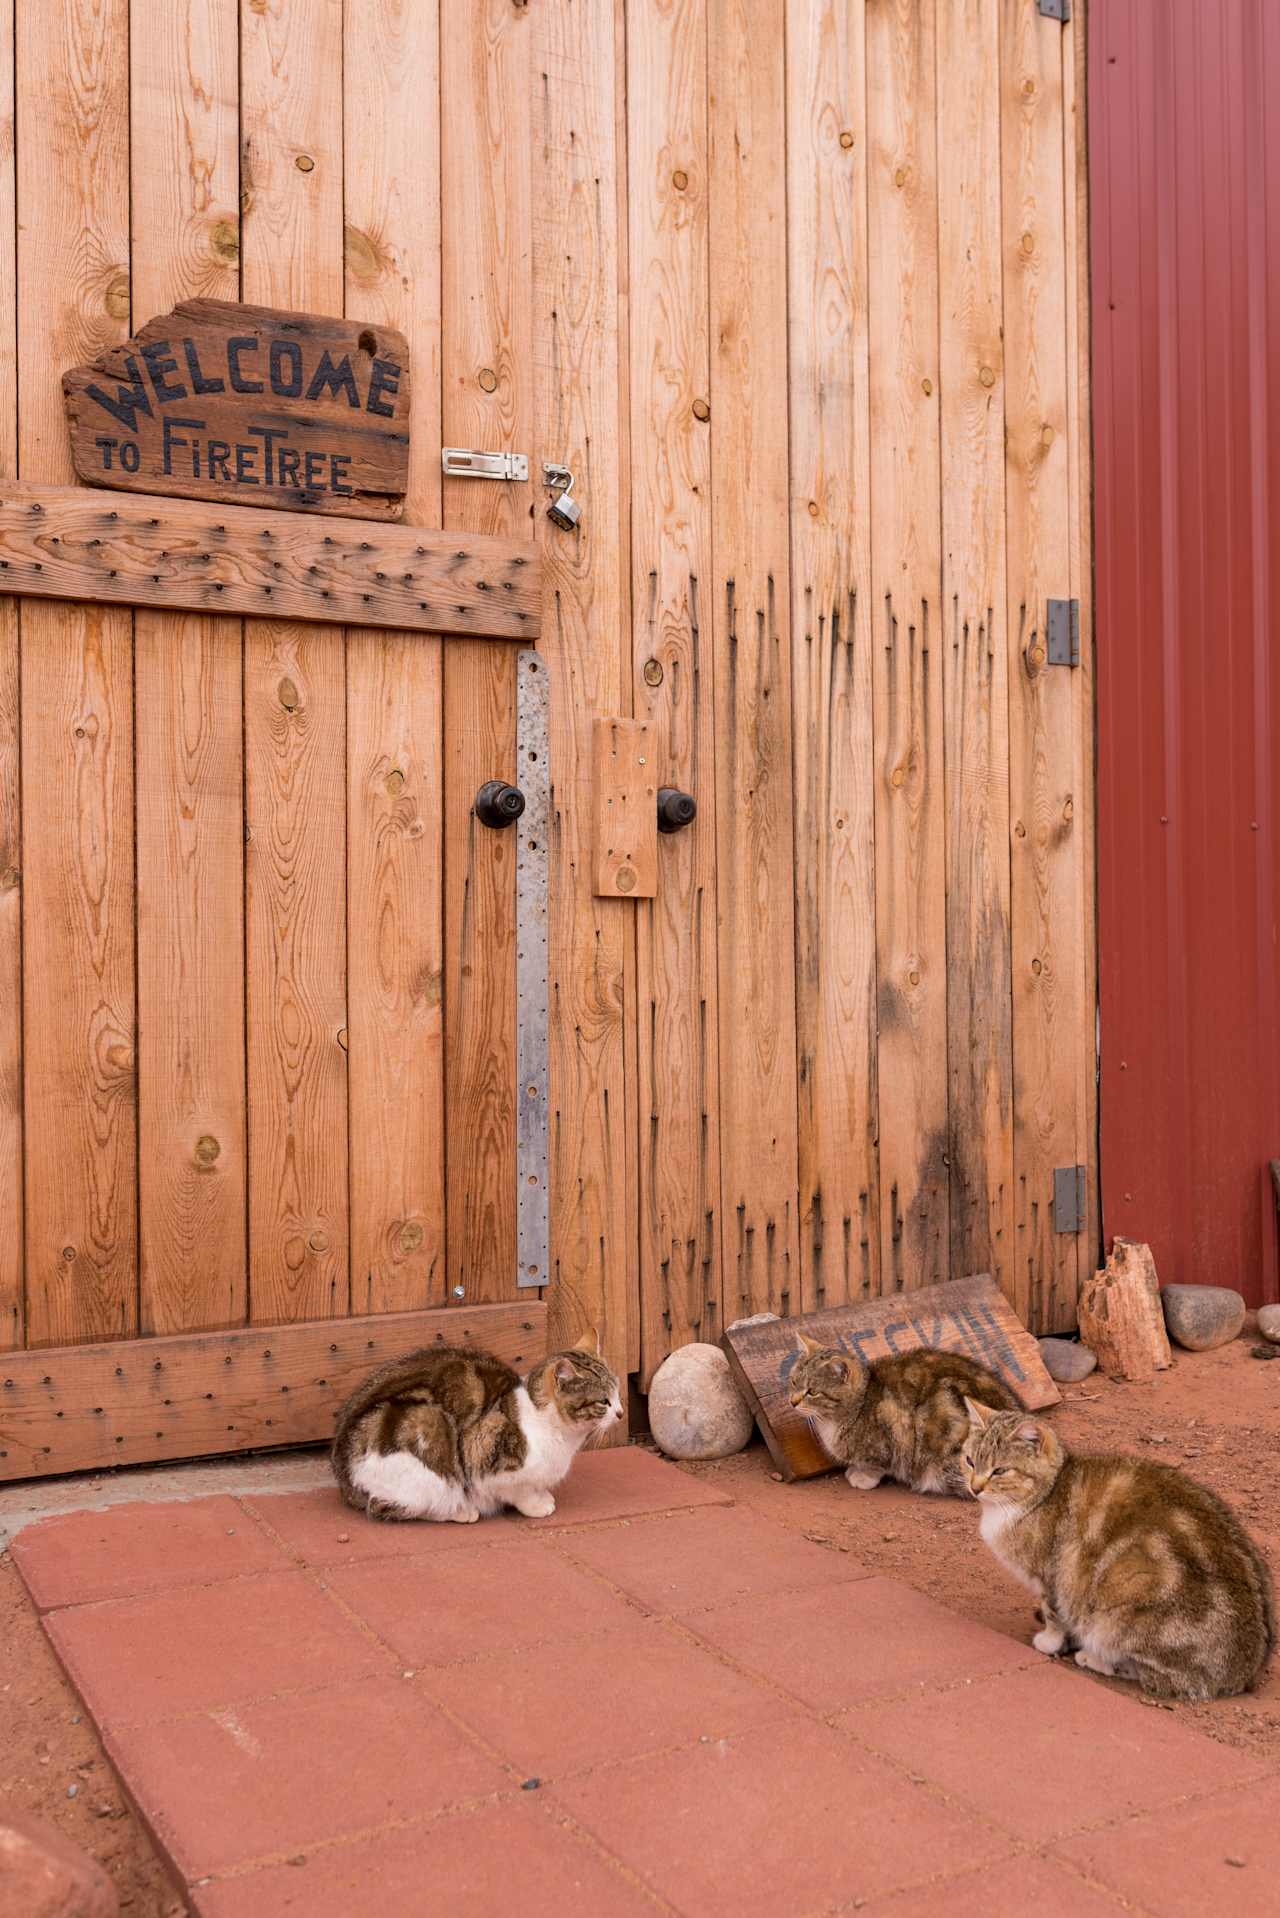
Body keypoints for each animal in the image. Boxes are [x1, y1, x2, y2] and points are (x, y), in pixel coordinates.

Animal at [330, 1334, 621, 1526]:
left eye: (618, 1393)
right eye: (603, 1401)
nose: (620, 1412)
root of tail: (343, 1477)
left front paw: (543, 1495)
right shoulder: (485, 1454)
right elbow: (519, 1491)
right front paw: (537, 1505)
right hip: (426, 1441)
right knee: (384, 1506)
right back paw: (461, 1510)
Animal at [786, 1334, 1013, 1496]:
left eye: (812, 1391)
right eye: (793, 1382)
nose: (792, 1401)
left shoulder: (892, 1425)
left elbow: (876, 1463)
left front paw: (862, 1477)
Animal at [967, 1403, 1274, 1703]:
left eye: (999, 1471)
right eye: (970, 1461)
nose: (974, 1487)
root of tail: (1246, 1671)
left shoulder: (1051, 1576)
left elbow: (1054, 1614)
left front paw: (1050, 1642)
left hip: (1126, 1602)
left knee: (1152, 1676)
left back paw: (1092, 1657)